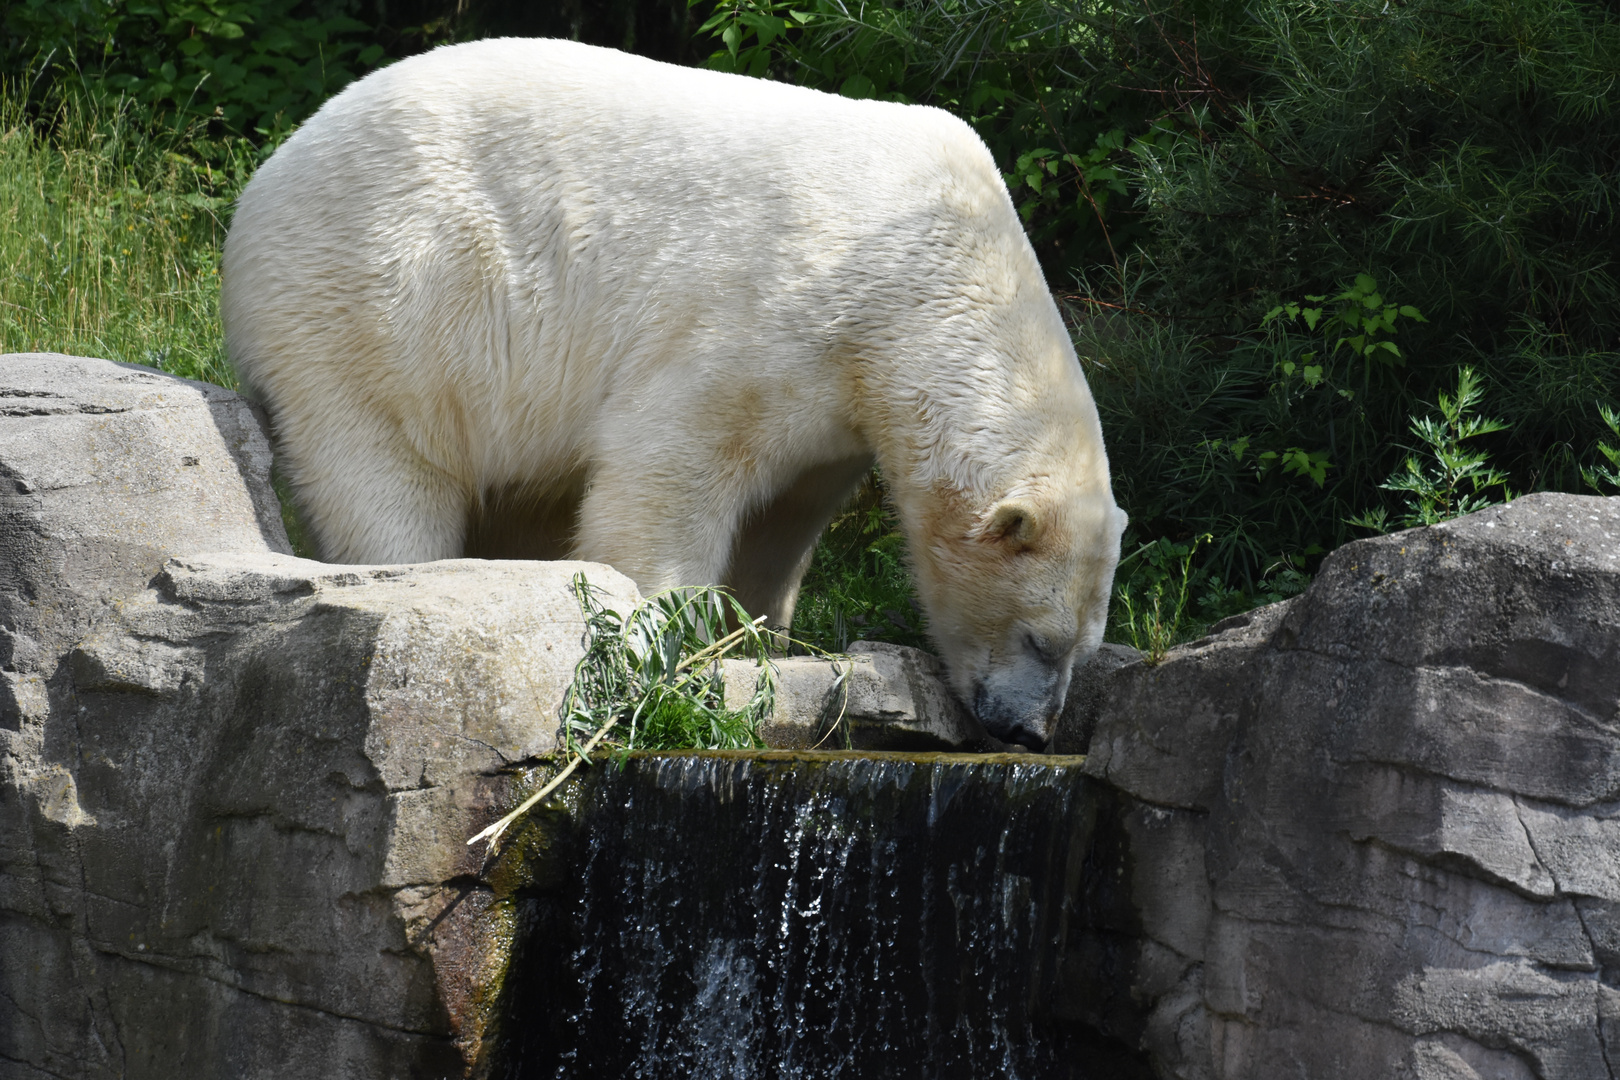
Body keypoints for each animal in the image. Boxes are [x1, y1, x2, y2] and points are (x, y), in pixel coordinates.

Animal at [218, 40, 1127, 751]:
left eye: (1084, 651)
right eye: (1040, 638)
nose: (1029, 732)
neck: (926, 266)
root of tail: (270, 175)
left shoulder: (839, 411)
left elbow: (784, 518)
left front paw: (760, 639)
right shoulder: (776, 309)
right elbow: (672, 463)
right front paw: (662, 636)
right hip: (381, 303)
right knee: (383, 469)